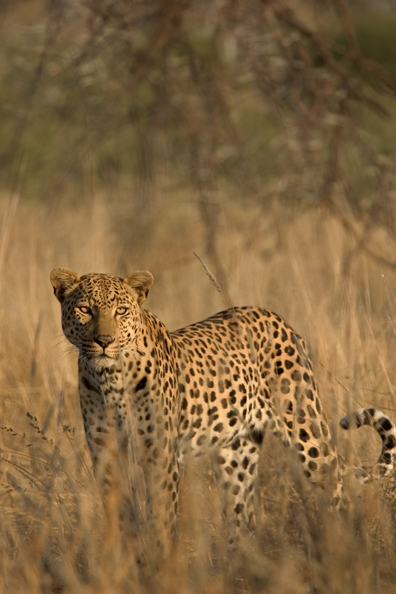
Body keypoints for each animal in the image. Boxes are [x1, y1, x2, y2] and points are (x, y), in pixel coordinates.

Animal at [51, 266, 396, 548]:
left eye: (121, 310)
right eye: (85, 309)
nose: (104, 341)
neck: (109, 378)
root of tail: (276, 317)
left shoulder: (160, 455)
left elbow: (161, 516)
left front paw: (158, 563)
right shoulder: (105, 452)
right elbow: (118, 514)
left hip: (306, 433)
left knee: (333, 487)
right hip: (237, 454)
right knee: (241, 519)